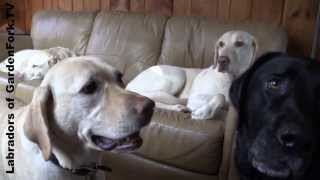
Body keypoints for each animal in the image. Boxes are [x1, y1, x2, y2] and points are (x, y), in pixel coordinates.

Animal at [126, 30, 258, 120]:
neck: (231, 79)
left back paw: (179, 107)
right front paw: (204, 112)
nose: (222, 60)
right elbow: (220, 96)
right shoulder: (195, 98)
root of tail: (129, 84)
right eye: (221, 44)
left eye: (239, 43)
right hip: (178, 75)